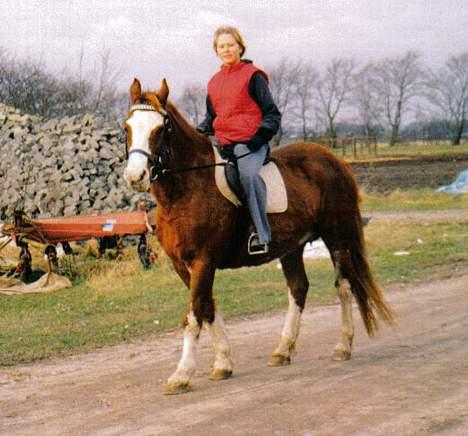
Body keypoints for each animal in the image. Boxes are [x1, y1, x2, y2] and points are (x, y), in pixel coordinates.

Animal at [122, 78, 394, 396]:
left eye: (161, 128)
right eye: (127, 127)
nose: (135, 177)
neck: (188, 188)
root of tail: (334, 160)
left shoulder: (203, 261)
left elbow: (195, 313)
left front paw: (182, 375)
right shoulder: (182, 265)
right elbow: (209, 308)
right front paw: (223, 364)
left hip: (337, 236)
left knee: (344, 286)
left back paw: (342, 346)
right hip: (292, 247)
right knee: (298, 288)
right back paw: (283, 350)